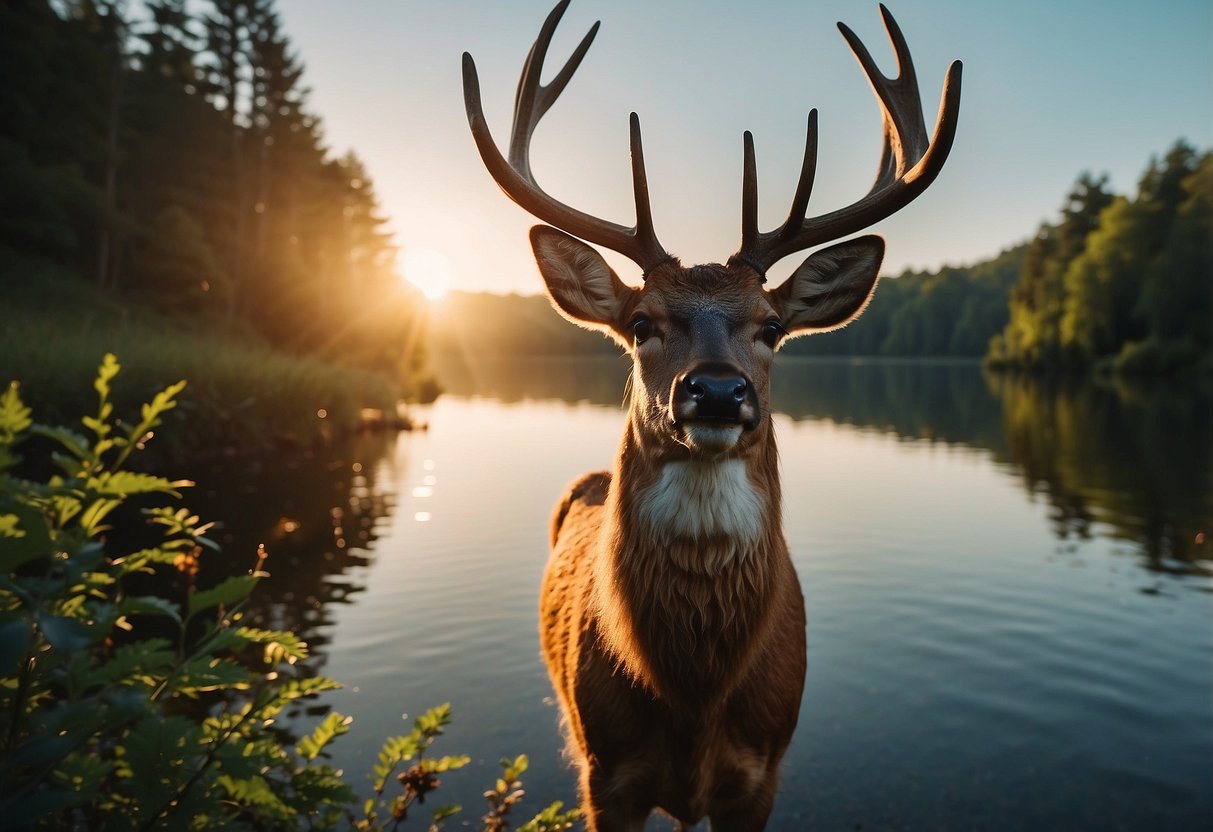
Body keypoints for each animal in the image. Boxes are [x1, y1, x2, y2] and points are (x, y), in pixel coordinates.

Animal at [458, 3, 960, 829]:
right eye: (640, 324)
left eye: (770, 326)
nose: (719, 391)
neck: (694, 693)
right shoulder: (606, 774)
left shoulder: (759, 774)